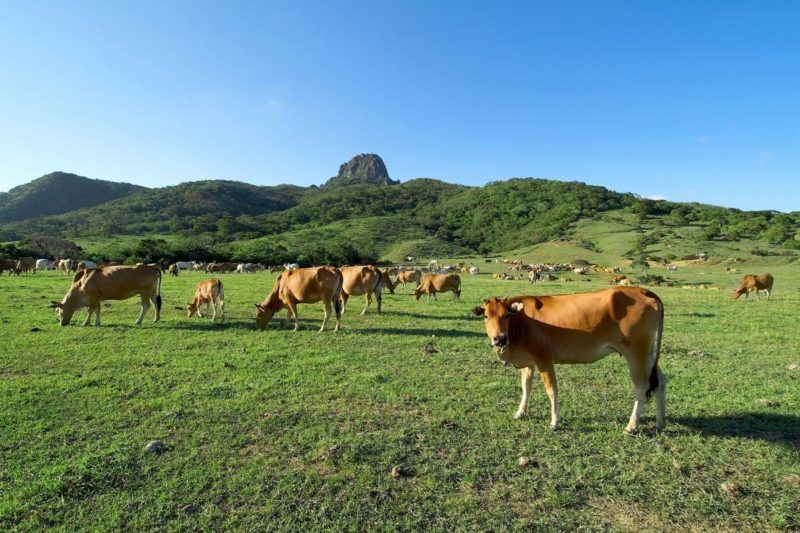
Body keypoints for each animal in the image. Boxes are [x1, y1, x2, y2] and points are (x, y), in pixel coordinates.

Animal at [472, 286, 664, 432]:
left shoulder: (544, 359)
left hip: (636, 354)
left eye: (506, 315)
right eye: (486, 316)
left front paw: (555, 422)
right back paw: (660, 422)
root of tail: (643, 290)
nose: (499, 339)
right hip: (649, 354)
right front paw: (520, 413)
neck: (520, 322)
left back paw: (631, 426)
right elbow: (526, 387)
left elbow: (551, 390)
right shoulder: (529, 362)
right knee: (661, 381)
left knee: (642, 387)